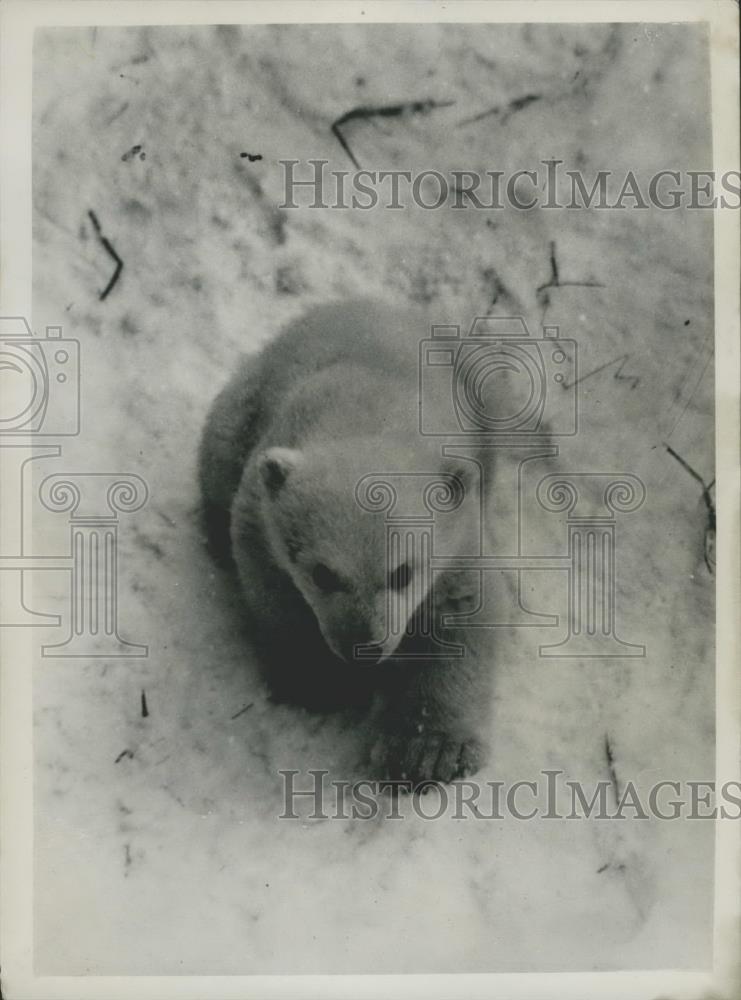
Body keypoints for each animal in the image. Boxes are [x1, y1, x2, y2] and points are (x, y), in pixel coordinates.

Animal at [198, 299, 495, 784]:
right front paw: (319, 682)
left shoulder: (461, 533)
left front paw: (428, 750)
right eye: (322, 573)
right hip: (243, 404)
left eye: (403, 572)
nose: (364, 649)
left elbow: (463, 616)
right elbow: (273, 590)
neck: (371, 417)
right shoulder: (259, 511)